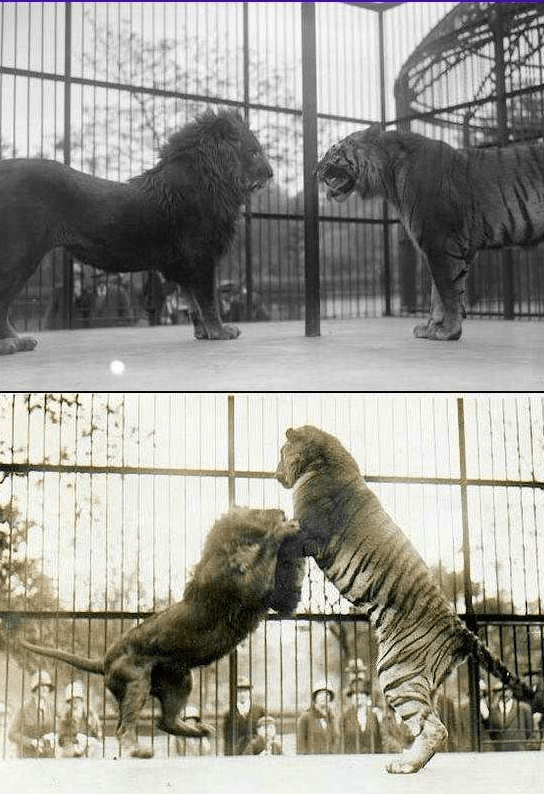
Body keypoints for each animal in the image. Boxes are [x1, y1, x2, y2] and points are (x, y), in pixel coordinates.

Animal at [0, 107, 272, 352]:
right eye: (254, 152)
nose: (271, 173)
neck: (216, 178)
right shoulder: (201, 255)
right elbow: (208, 300)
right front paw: (220, 332)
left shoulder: (181, 264)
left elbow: (194, 304)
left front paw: (204, 333)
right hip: (20, 256)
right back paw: (11, 344)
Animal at [17, 504, 304, 756]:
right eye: (257, 512)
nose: (280, 510)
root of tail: (105, 659)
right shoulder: (246, 587)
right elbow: (267, 553)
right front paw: (286, 528)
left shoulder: (272, 599)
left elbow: (286, 594)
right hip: (137, 680)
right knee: (124, 728)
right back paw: (139, 750)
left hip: (181, 680)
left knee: (164, 722)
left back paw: (200, 730)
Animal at [276, 424, 544, 772]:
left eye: (281, 453)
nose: (275, 472)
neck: (322, 461)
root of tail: (462, 630)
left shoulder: (309, 534)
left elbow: (282, 534)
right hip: (424, 681)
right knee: (432, 723)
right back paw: (409, 759)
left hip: (395, 673)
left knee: (435, 728)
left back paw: (405, 765)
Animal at [312, 125, 544, 342]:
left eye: (333, 152)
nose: (314, 170)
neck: (388, 177)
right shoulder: (447, 248)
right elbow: (439, 294)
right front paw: (432, 328)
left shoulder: (440, 242)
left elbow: (448, 293)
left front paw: (448, 331)